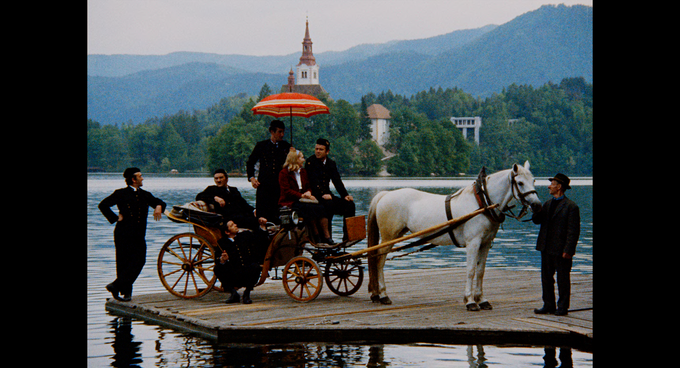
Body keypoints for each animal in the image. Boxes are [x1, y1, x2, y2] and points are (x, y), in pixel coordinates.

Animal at [366, 161, 540, 310]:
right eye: (520, 183)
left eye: (534, 180)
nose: (537, 205)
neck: (482, 204)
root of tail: (384, 194)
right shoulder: (473, 243)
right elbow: (471, 270)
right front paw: (470, 301)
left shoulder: (485, 243)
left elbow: (481, 271)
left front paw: (482, 299)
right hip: (389, 236)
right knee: (379, 262)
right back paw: (383, 295)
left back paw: (377, 294)